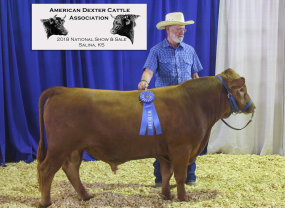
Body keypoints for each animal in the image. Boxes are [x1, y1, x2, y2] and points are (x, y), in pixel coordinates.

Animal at [36, 68, 254, 206]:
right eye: (241, 89)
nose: (253, 106)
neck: (194, 104)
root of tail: (62, 90)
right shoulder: (181, 148)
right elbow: (180, 175)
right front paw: (183, 198)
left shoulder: (166, 151)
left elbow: (166, 174)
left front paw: (166, 195)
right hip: (59, 146)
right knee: (47, 170)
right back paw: (46, 202)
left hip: (75, 148)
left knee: (71, 169)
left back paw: (86, 196)